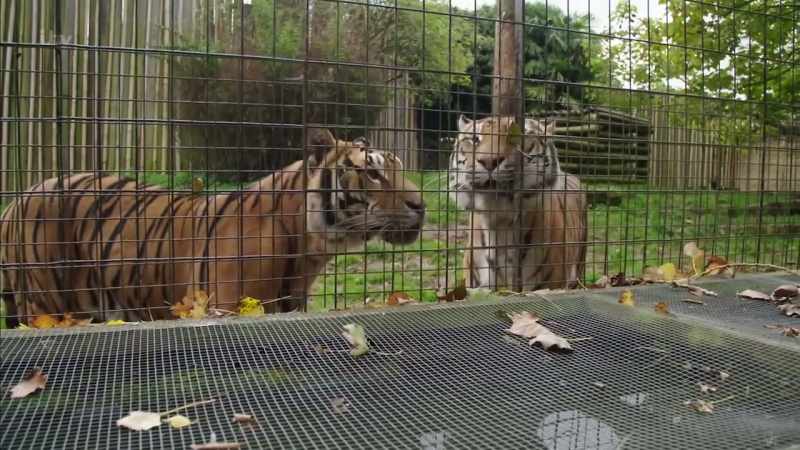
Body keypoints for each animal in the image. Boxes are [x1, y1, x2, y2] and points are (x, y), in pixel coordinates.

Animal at [0, 128, 425, 324]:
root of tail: (16, 200)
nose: (421, 206)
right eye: (372, 173)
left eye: (400, 167)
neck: (310, 249)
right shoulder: (227, 307)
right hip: (44, 304)